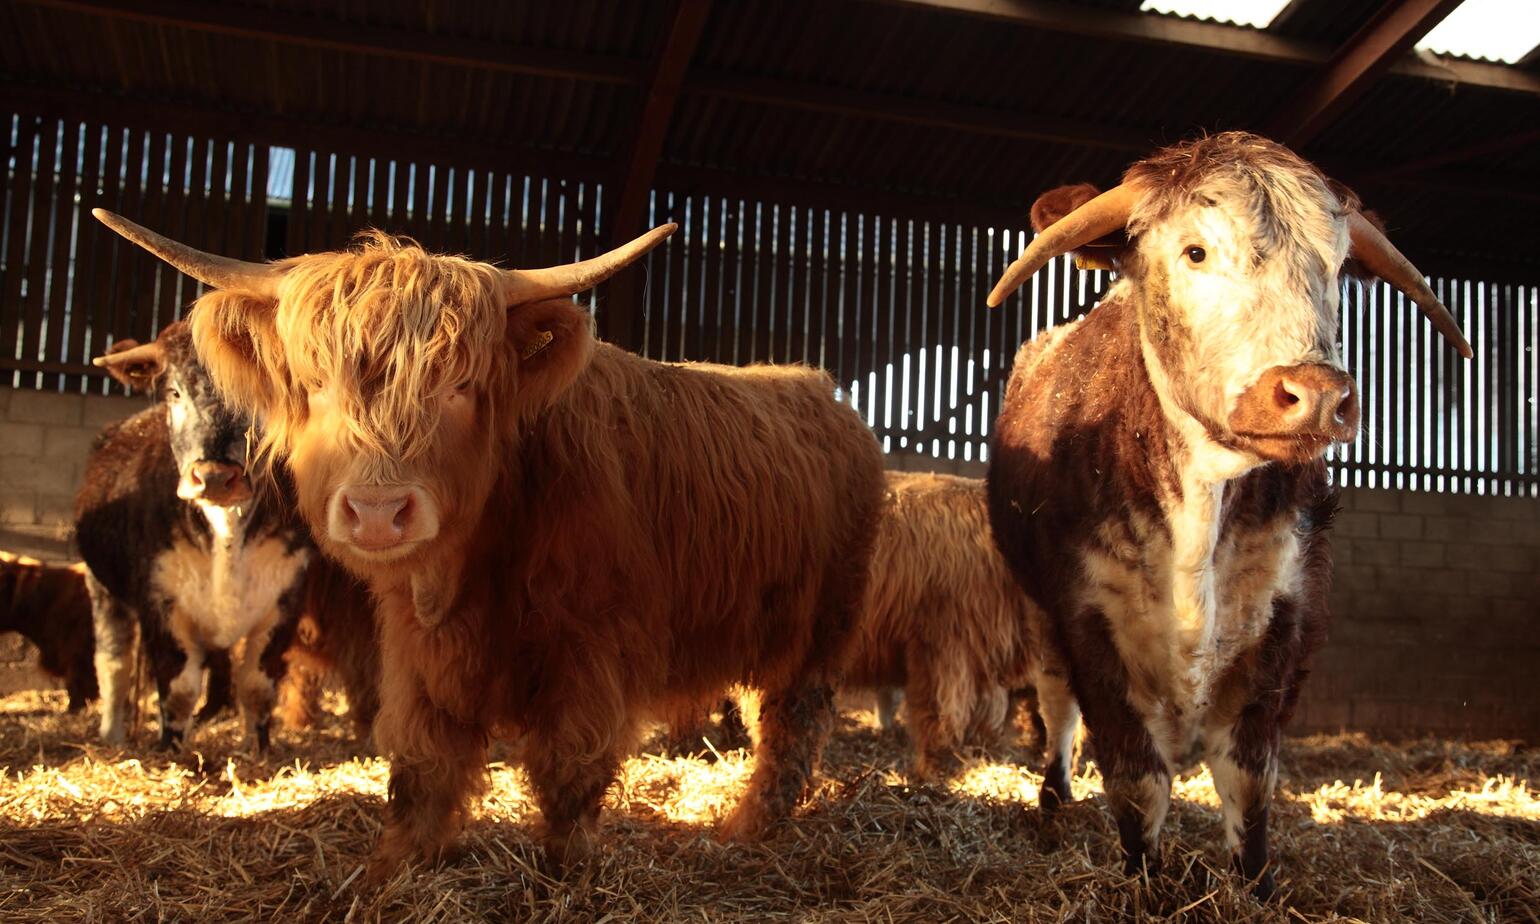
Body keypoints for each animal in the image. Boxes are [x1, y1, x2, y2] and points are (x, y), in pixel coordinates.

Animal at [76, 321, 313, 751]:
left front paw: (259, 750)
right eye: (174, 392)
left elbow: (256, 686)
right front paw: (172, 750)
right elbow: (179, 690)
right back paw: (112, 737)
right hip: (101, 586)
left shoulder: (286, 599)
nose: (215, 476)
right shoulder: (161, 602)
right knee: (114, 663)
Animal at [983, 132, 1471, 898]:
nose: (1316, 393)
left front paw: (1256, 888)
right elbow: (1137, 780)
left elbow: (1249, 779)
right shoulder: (1090, 618)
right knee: (1056, 704)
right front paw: (1146, 887)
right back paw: (1054, 803)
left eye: (1337, 266)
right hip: (1038, 612)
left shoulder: (1285, 615)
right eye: (1196, 251)